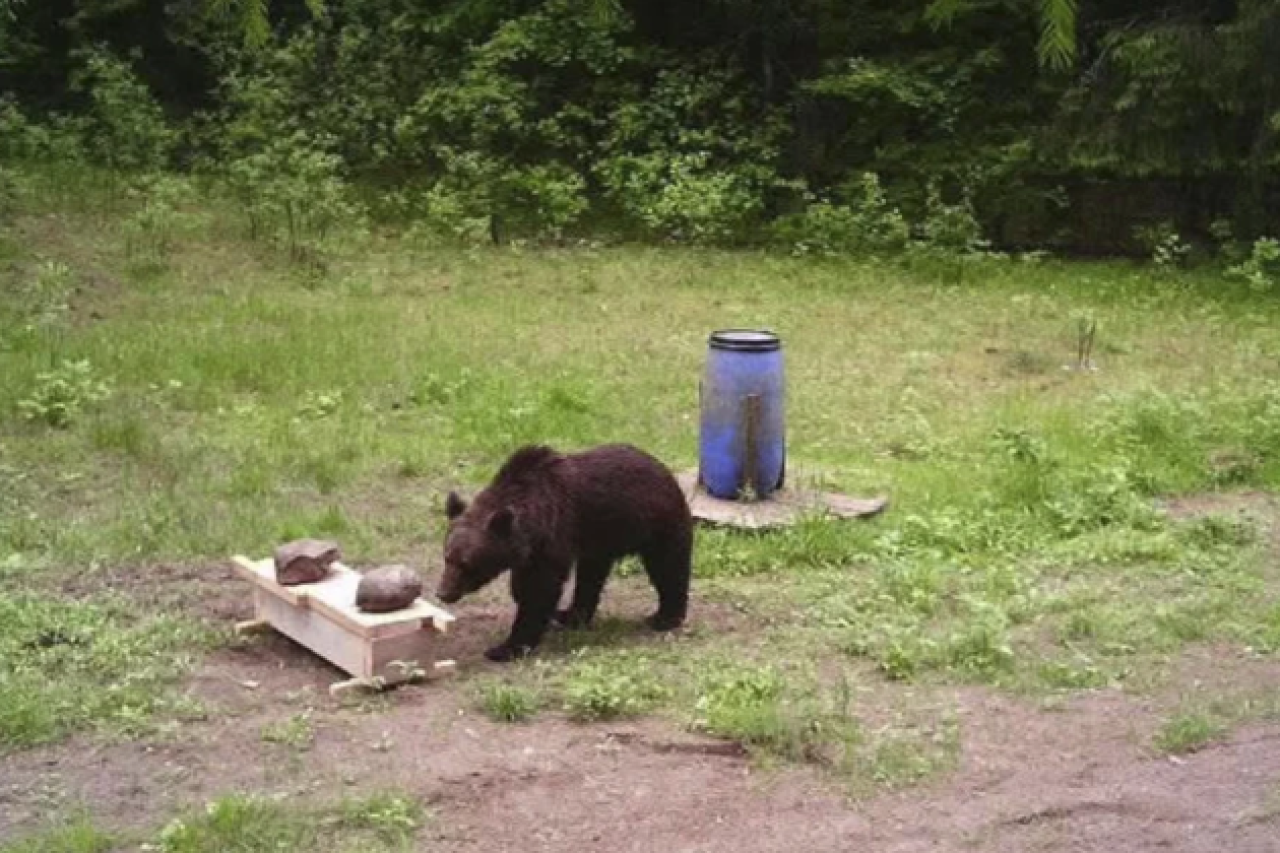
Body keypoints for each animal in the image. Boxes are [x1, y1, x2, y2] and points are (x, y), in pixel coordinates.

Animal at [436, 443, 694, 663]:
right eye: (447, 557)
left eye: (467, 564)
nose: (443, 593)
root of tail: (663, 469)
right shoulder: (531, 553)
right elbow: (525, 587)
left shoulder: (553, 537)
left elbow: (538, 590)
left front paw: (506, 648)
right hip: (599, 539)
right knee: (590, 579)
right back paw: (570, 615)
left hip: (655, 524)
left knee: (668, 567)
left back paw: (665, 617)